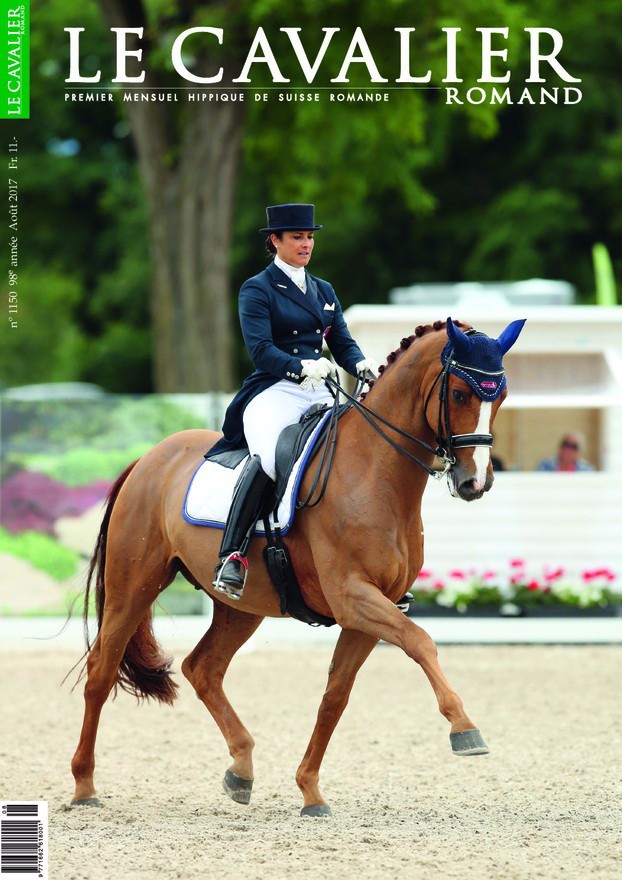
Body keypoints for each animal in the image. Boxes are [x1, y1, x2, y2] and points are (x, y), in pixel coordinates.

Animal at [69, 322, 520, 820]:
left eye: (500, 396)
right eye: (459, 394)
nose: (475, 483)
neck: (375, 474)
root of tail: (149, 458)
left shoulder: (369, 610)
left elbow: (335, 696)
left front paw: (310, 792)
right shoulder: (353, 597)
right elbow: (421, 642)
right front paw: (465, 729)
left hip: (241, 606)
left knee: (202, 668)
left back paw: (241, 771)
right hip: (134, 585)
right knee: (101, 671)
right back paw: (84, 786)